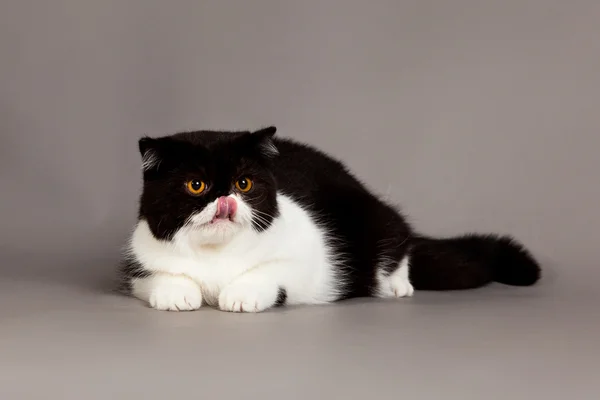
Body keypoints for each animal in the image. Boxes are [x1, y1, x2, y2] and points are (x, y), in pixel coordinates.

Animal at [117, 127, 540, 312]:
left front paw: (241, 294)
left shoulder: (312, 256)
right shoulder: (138, 260)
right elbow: (159, 275)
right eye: (196, 185)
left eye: (244, 183)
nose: (226, 201)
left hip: (376, 218)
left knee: (400, 242)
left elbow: (270, 272)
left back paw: (397, 286)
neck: (217, 255)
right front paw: (176, 293)